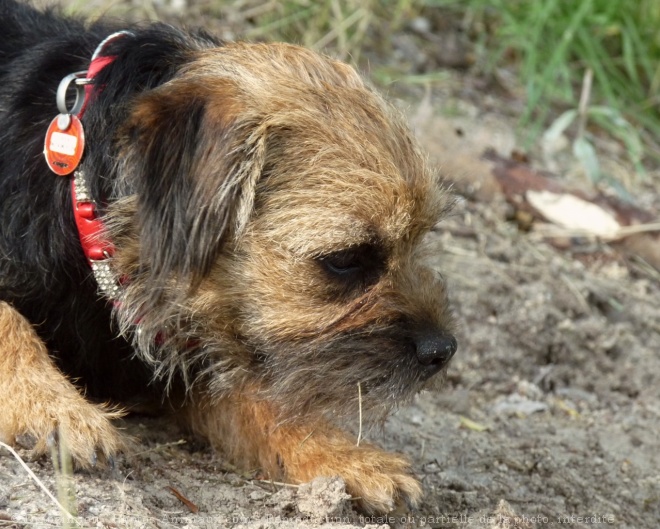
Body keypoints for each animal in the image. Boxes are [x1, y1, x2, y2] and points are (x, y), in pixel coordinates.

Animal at [0, 0, 454, 512]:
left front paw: (346, 456)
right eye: (345, 259)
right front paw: (56, 408)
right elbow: (8, 320)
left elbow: (263, 402)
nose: (443, 350)